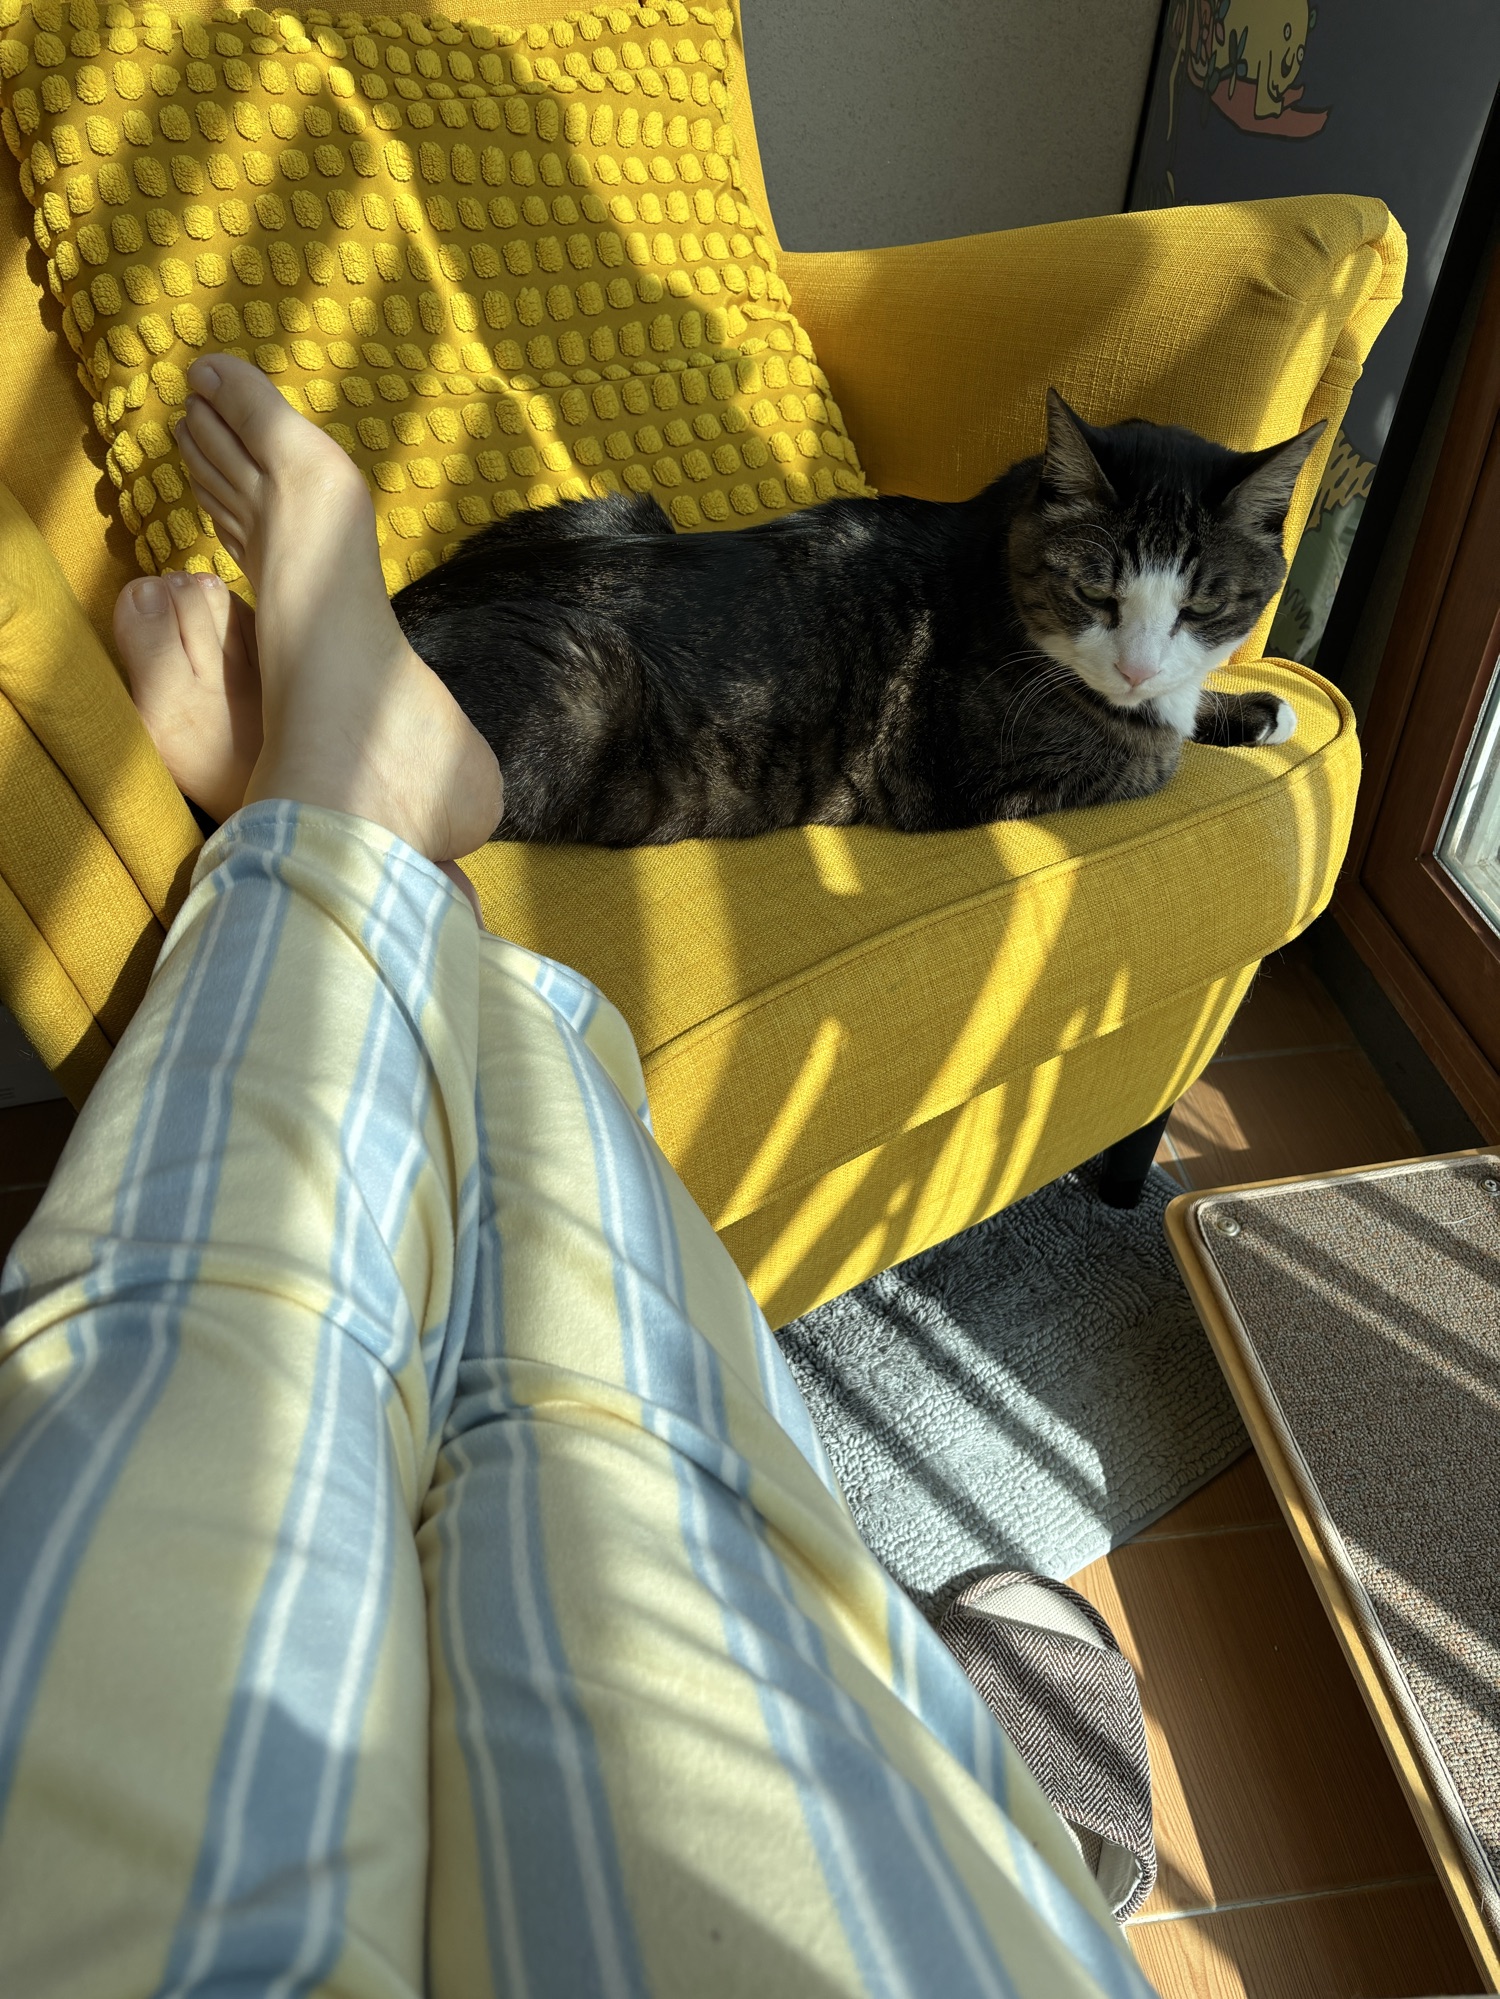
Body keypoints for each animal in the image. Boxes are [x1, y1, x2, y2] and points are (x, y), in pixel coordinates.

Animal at [391, 389, 1324, 847]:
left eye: (1203, 604)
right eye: (1095, 594)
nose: (1134, 667)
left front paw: (1255, 707)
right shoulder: (971, 768)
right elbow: (1156, 750)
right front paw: (1199, 716)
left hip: (617, 506)